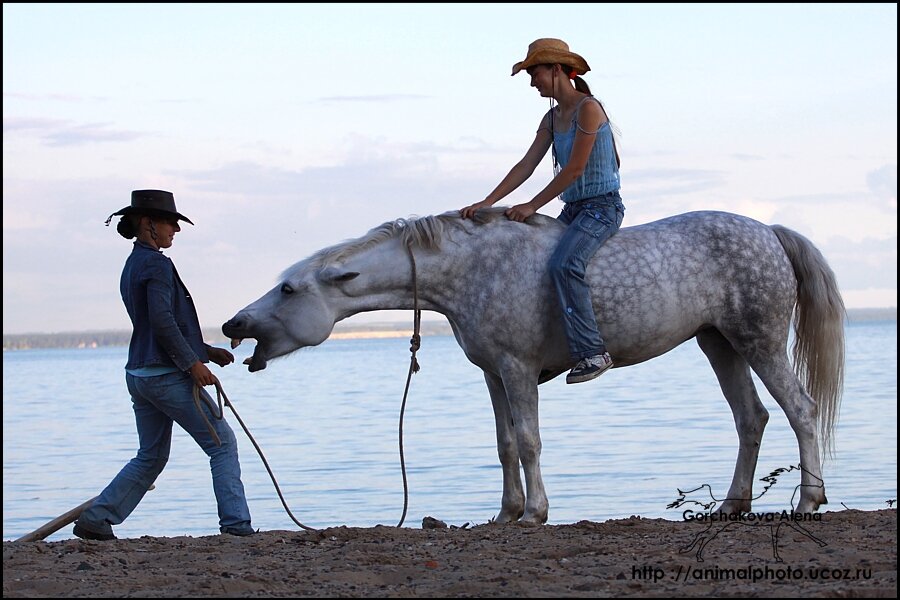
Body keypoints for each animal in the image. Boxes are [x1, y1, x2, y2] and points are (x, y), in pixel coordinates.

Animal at [223, 210, 844, 524]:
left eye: (289, 289)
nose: (232, 325)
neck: (473, 270)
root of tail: (769, 232)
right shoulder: (494, 374)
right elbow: (503, 444)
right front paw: (506, 511)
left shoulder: (518, 370)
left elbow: (527, 441)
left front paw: (535, 514)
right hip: (720, 344)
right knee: (751, 419)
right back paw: (735, 505)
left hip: (758, 340)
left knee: (799, 409)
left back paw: (809, 500)